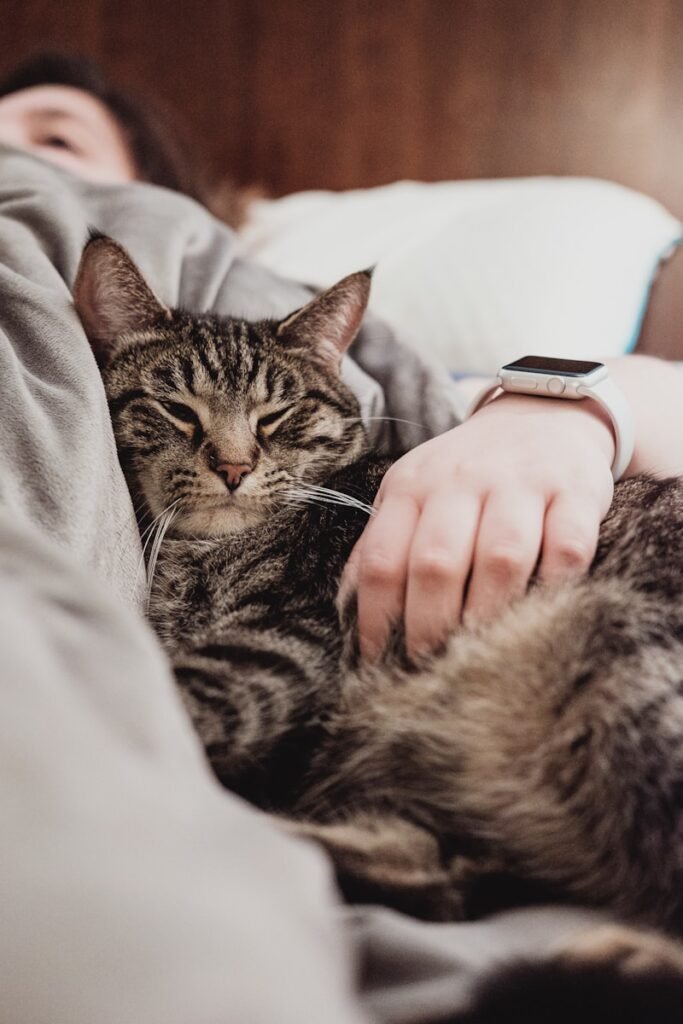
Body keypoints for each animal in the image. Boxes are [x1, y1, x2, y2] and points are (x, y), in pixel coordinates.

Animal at [76, 235, 683, 1019]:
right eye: (176, 409)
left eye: (278, 415)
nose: (235, 466)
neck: (199, 557)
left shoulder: (284, 640)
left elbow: (178, 696)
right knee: (438, 874)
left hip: (625, 664)